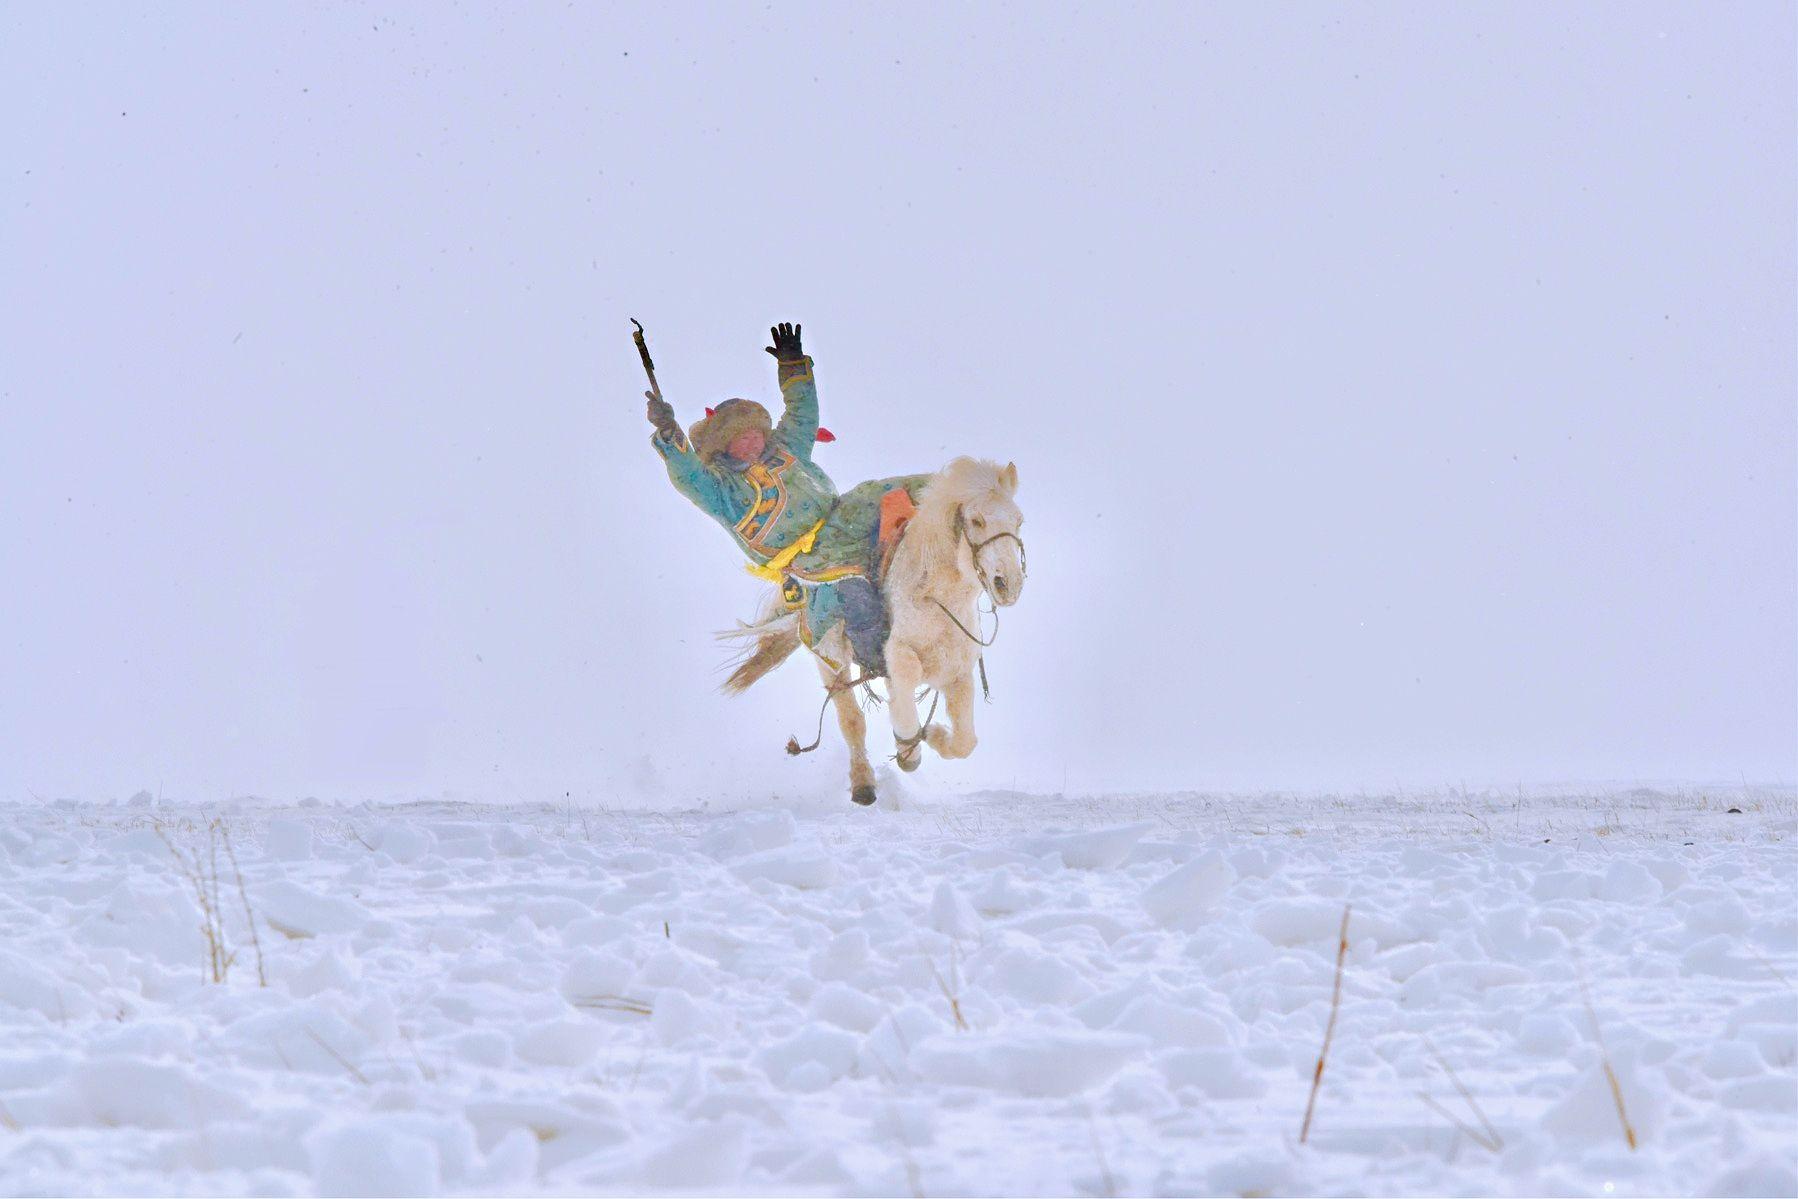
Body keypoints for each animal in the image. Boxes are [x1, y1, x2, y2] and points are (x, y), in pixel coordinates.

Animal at [720, 456, 1026, 807]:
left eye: (1018, 521)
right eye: (976, 521)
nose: (1008, 584)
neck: (936, 598)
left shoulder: (958, 672)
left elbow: (965, 742)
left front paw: (932, 734)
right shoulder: (898, 655)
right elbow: (904, 684)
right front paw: (909, 747)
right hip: (830, 659)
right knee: (851, 720)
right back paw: (864, 784)